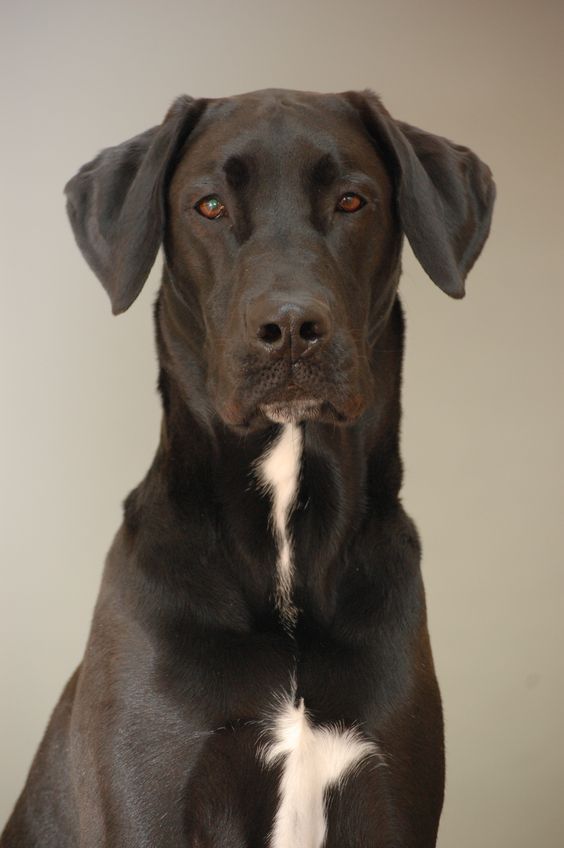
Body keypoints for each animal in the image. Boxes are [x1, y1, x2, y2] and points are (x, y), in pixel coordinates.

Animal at [1, 89, 494, 844]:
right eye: (209, 206)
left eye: (352, 201)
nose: (290, 329)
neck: (286, 549)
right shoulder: (154, 792)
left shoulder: (387, 790)